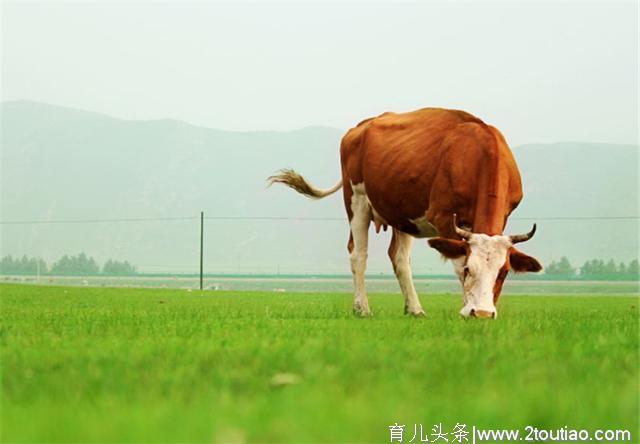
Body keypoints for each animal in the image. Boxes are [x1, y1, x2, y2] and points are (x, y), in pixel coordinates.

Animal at [268, 108, 544, 320]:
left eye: (504, 272)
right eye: (469, 269)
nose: (484, 313)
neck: (477, 153)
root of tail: (362, 125)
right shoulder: (444, 218)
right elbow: (455, 263)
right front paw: (467, 308)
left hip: (402, 213)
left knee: (399, 259)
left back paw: (415, 309)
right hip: (357, 200)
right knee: (358, 254)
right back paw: (362, 308)